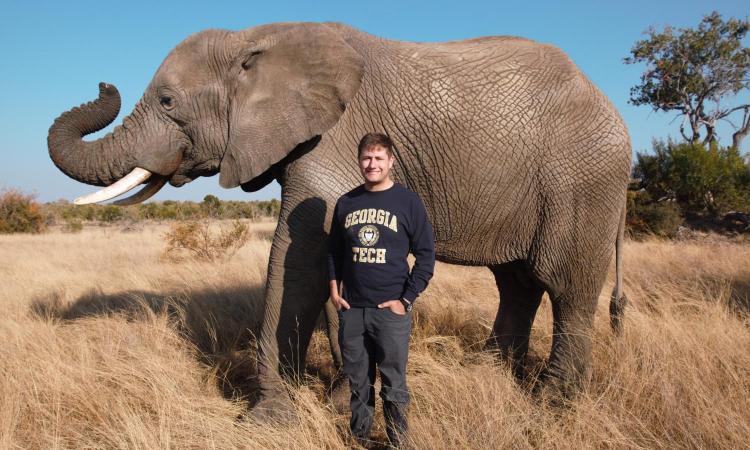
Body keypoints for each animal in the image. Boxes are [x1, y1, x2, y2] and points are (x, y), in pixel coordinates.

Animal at [47, 21, 632, 414]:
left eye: (168, 102)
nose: (103, 84)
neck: (254, 37)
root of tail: (611, 108)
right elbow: (329, 266)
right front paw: (336, 400)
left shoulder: (331, 139)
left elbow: (298, 255)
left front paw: (266, 420)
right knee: (516, 282)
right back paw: (487, 373)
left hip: (583, 181)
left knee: (564, 285)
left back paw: (552, 404)